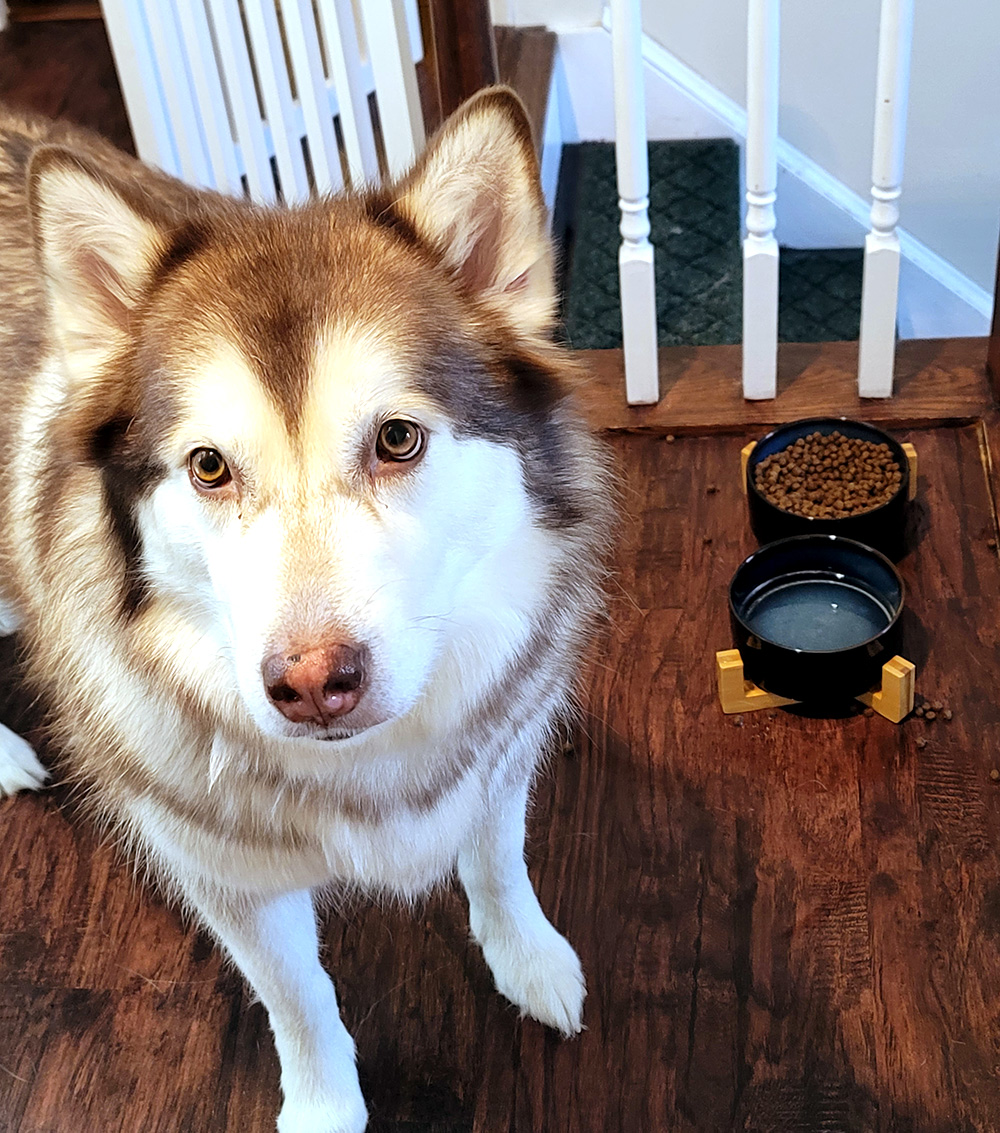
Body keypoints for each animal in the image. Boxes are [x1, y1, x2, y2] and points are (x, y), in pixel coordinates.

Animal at [0, 90, 611, 1133]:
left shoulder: (500, 748)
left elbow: (498, 861)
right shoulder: (228, 880)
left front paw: (526, 955)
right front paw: (326, 1104)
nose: (313, 683)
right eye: (209, 465)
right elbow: (300, 998)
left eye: (398, 439)